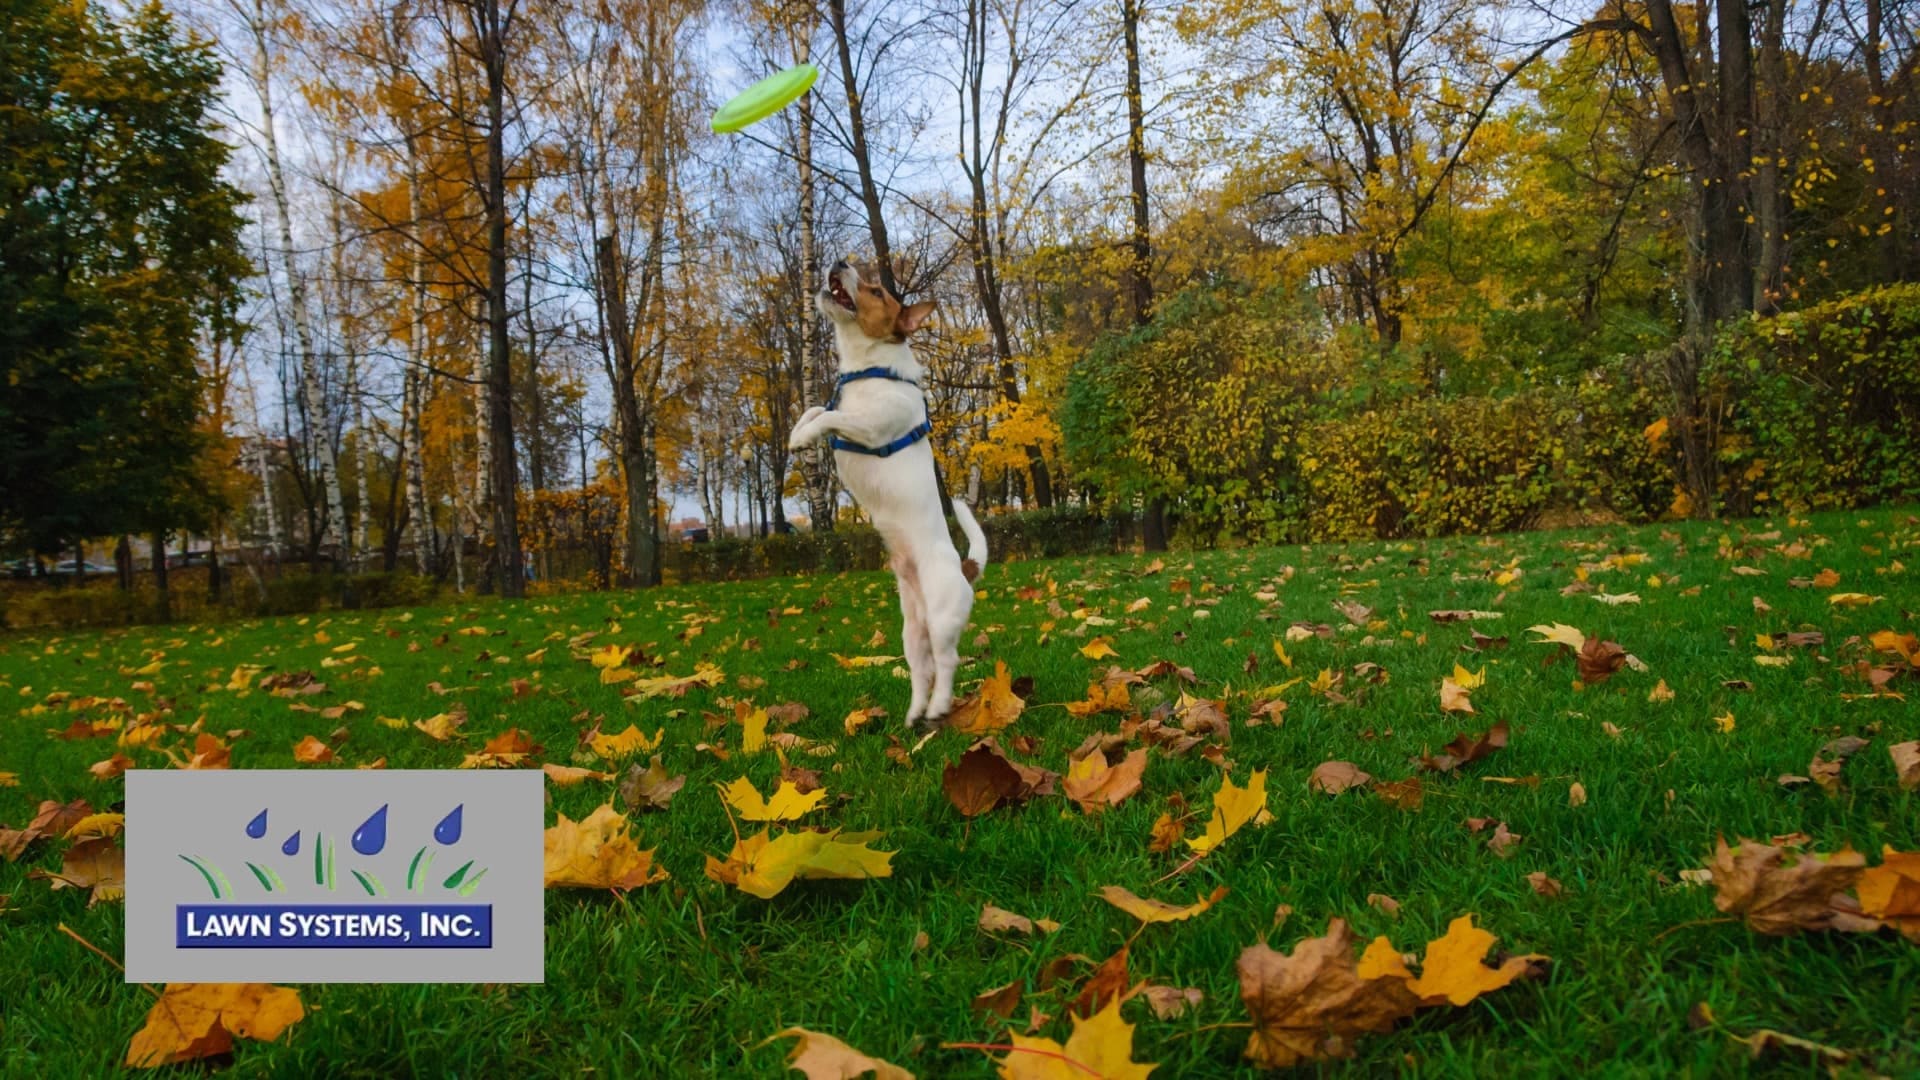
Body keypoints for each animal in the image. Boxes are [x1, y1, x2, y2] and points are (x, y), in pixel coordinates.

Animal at [783, 259, 983, 726]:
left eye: (876, 290)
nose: (841, 261)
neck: (868, 371)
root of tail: (964, 568)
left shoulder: (870, 427)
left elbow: (830, 418)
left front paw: (806, 438)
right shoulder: (837, 406)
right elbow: (816, 408)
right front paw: (797, 436)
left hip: (943, 619)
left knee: (948, 663)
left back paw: (939, 706)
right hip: (912, 633)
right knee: (922, 669)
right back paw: (915, 712)